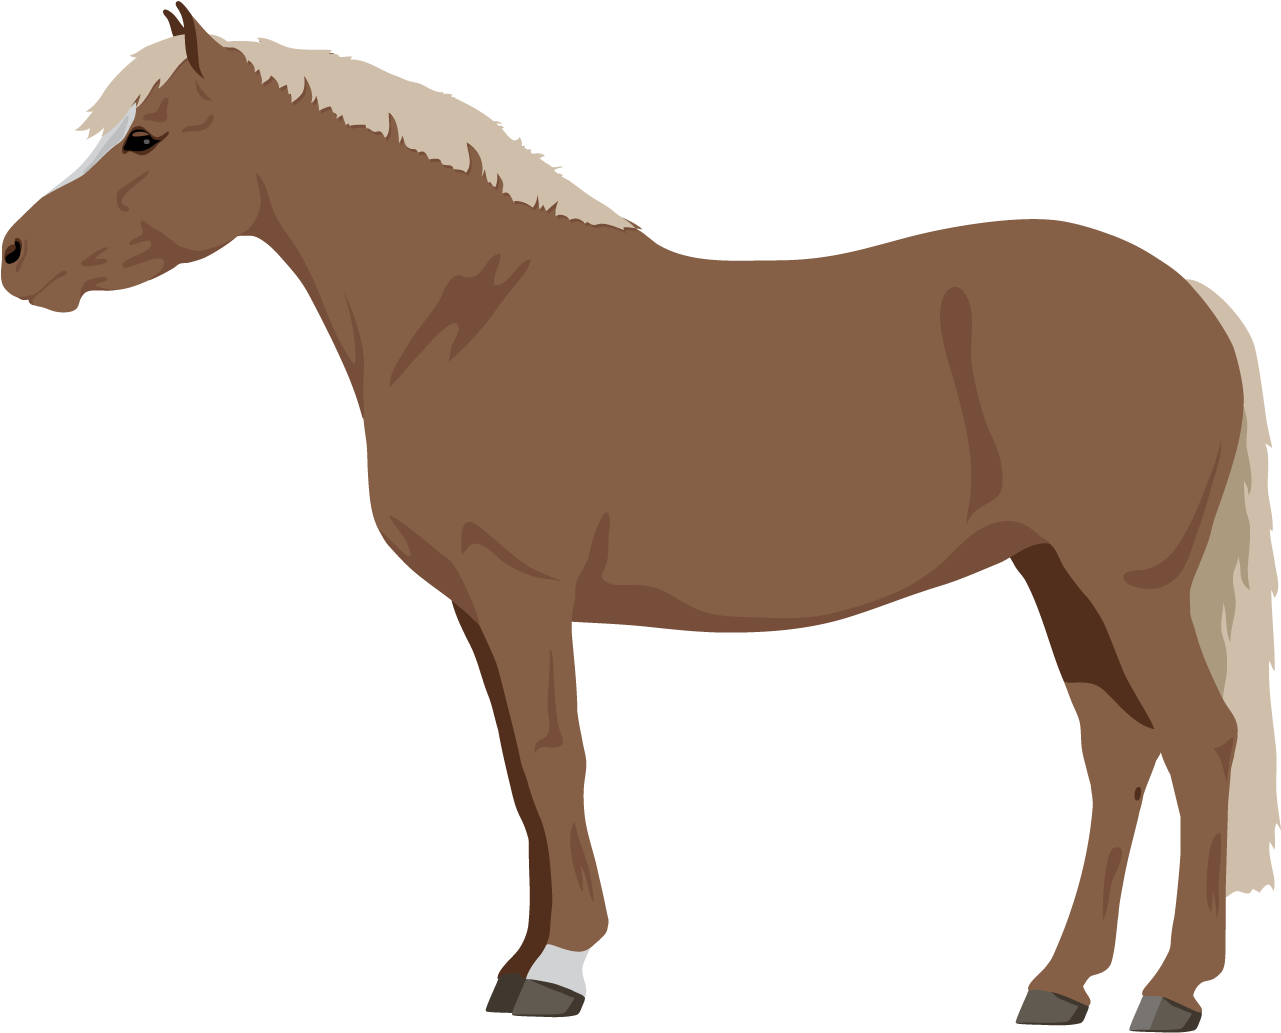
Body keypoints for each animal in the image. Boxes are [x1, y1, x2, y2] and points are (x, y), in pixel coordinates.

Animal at [4, 5, 1275, 1025]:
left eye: (148, 139)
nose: (15, 257)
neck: (470, 311)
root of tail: (1189, 296)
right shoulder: (482, 609)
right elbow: (524, 770)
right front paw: (527, 954)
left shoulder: (522, 590)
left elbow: (556, 756)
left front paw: (555, 970)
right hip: (1057, 575)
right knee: (1119, 750)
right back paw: (1058, 986)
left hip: (1125, 582)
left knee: (1201, 740)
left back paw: (1169, 993)